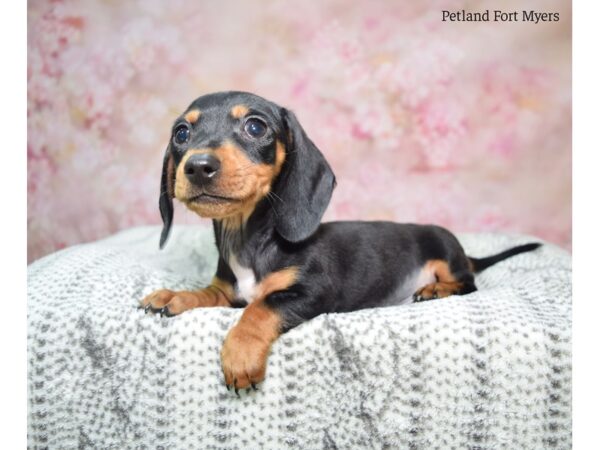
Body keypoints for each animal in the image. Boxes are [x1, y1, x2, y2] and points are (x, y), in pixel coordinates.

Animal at [139, 91, 540, 394]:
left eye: (255, 126)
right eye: (181, 133)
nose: (198, 166)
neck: (249, 240)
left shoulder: (313, 292)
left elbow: (262, 307)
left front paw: (239, 353)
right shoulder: (228, 291)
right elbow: (210, 293)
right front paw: (175, 296)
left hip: (445, 252)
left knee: (468, 282)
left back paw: (436, 290)